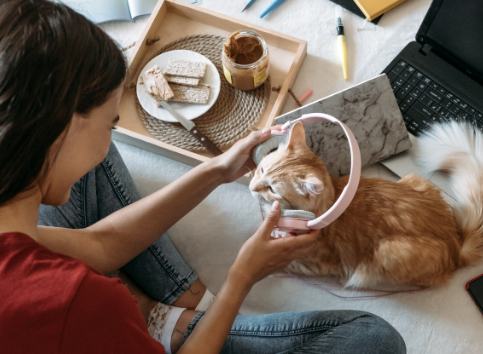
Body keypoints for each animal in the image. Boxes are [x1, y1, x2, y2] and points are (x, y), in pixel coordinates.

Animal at [250, 120, 483, 290]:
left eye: (272, 189)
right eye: (261, 170)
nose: (252, 187)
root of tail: (455, 245)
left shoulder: (316, 264)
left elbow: (283, 264)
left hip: (387, 252)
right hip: (418, 181)